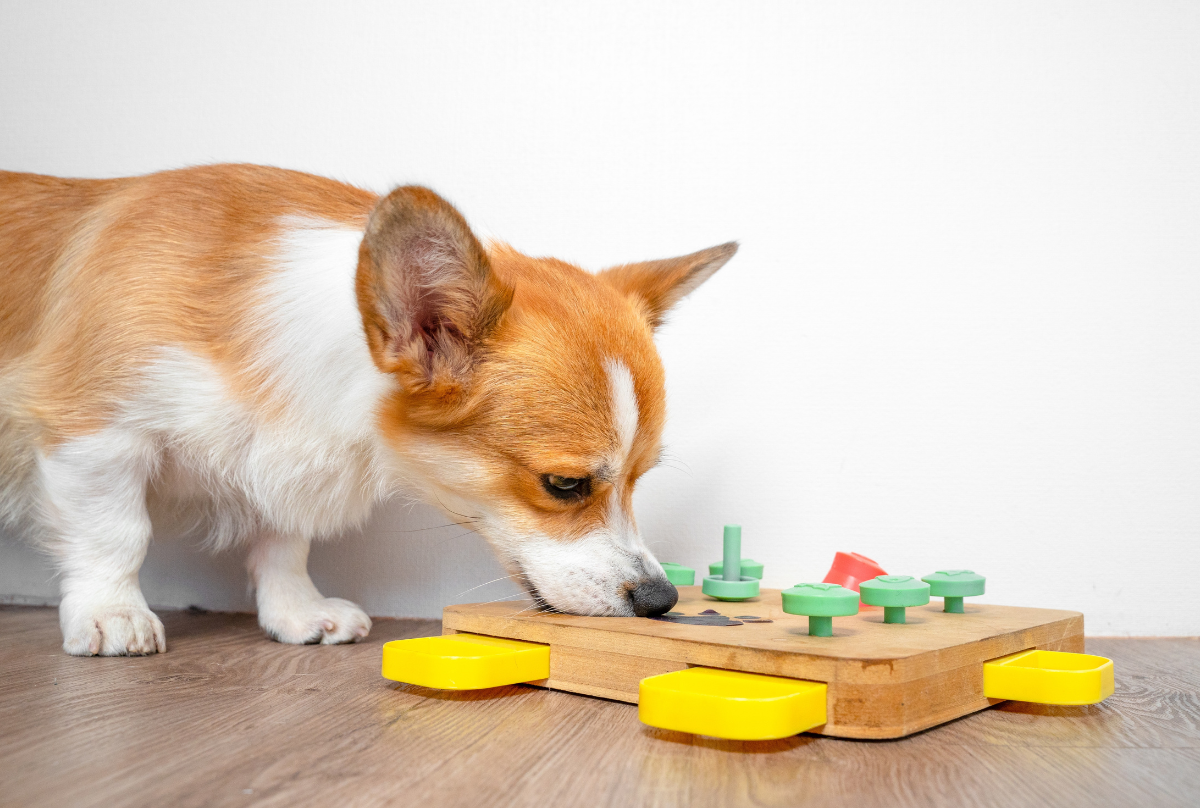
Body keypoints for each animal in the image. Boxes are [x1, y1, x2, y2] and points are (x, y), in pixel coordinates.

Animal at [0, 165, 734, 653]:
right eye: (564, 485)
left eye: (640, 480)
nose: (662, 600)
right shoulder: (92, 433)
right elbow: (116, 533)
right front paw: (110, 613)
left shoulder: (284, 456)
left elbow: (285, 542)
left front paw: (297, 613)